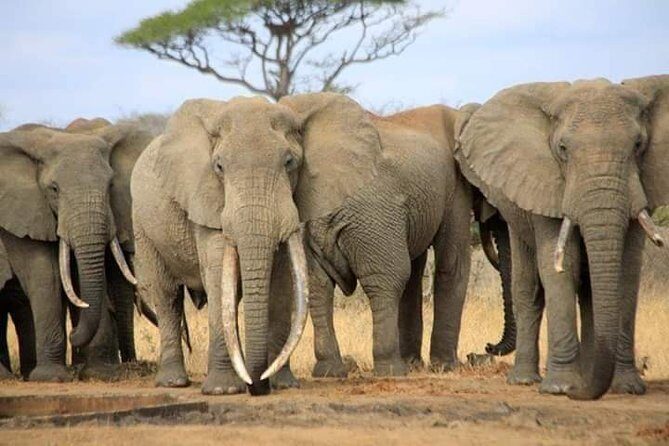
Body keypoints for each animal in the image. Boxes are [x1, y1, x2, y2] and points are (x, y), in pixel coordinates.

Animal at [0, 118, 153, 381]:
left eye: (110, 185)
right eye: (54, 189)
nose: (73, 334)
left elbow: (84, 275)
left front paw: (99, 374)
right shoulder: (23, 212)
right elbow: (46, 274)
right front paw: (52, 377)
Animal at [279, 98, 473, 377]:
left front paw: (418, 363)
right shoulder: (455, 188)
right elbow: (453, 264)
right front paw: (445, 367)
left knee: (318, 285)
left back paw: (331, 371)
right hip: (373, 218)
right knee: (387, 280)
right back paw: (392, 370)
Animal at [454, 76, 669, 400]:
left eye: (638, 145)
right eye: (563, 149)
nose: (485, 348)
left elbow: (626, 270)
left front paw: (627, 388)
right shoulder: (545, 183)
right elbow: (562, 266)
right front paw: (561, 388)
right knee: (530, 288)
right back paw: (526, 380)